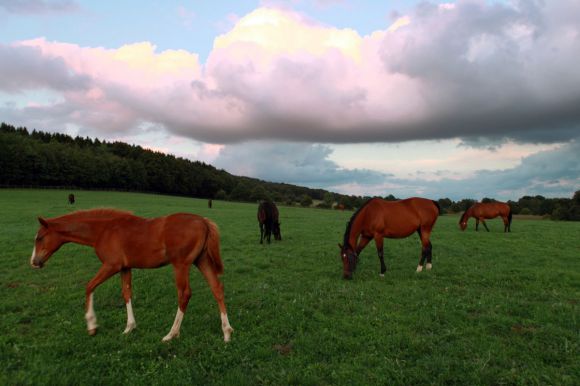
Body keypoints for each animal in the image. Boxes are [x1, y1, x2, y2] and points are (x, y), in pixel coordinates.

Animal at [28, 210, 233, 342]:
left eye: (40, 238)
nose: (34, 262)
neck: (103, 230)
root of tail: (204, 221)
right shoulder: (124, 268)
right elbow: (126, 293)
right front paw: (129, 327)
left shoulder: (111, 265)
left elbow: (89, 286)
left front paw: (92, 326)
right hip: (202, 260)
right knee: (217, 288)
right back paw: (227, 332)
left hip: (181, 265)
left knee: (184, 294)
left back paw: (171, 334)